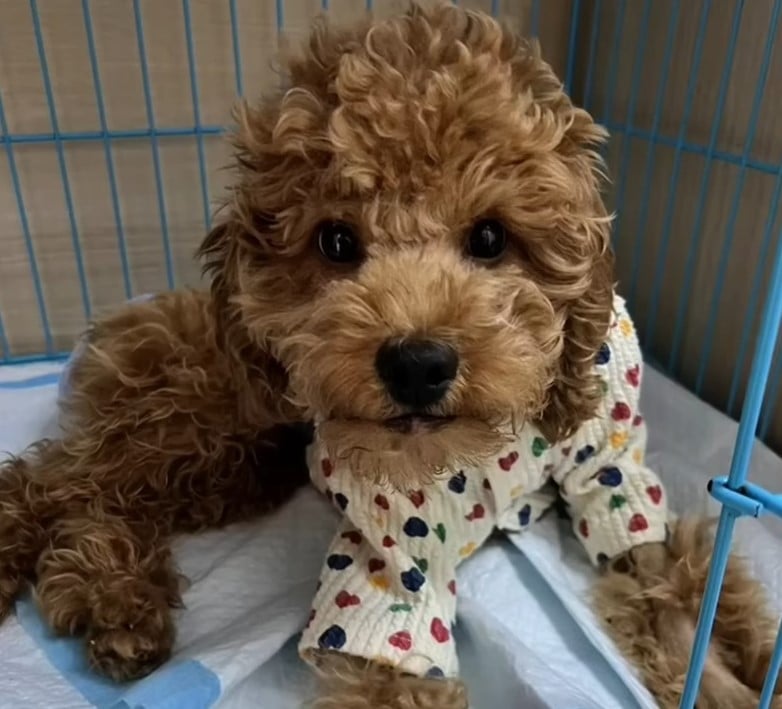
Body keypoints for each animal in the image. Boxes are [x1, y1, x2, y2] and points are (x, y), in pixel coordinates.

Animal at [0, 5, 780, 708]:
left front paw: (727, 673)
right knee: (58, 477)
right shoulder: (395, 544)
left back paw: (115, 607)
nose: (417, 364)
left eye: (491, 237)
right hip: (200, 409)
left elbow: (664, 565)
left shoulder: (607, 460)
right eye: (336, 241)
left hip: (237, 467)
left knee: (107, 497)